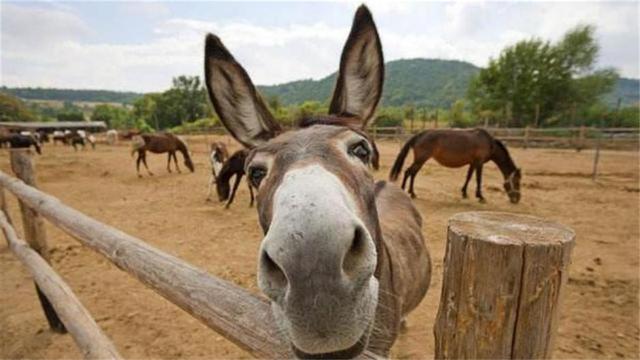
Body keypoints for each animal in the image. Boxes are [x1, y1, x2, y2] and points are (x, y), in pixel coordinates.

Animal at [390, 129, 520, 202]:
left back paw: (412, 192)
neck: (489, 143)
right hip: (420, 160)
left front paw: (464, 193)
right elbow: (478, 179)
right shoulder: (479, 162)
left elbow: (468, 177)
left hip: (420, 161)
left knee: (412, 173)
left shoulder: (472, 163)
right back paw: (405, 191)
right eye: (517, 181)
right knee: (408, 172)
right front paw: (480, 197)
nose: (517, 199)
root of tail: (419, 135)